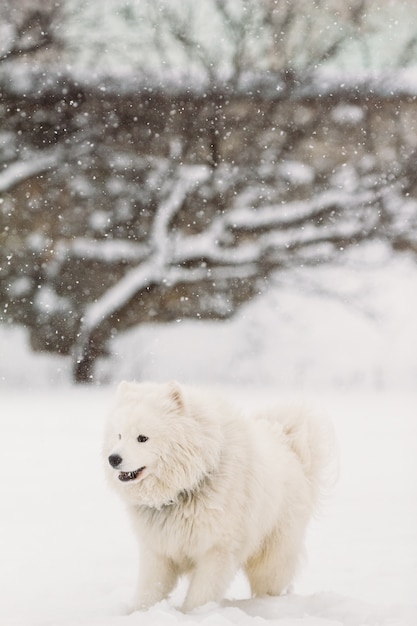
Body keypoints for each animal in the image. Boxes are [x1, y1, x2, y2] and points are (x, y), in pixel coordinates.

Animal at [103, 380, 332, 608]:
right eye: (119, 435)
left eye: (142, 438)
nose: (113, 459)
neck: (190, 483)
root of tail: (289, 446)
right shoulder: (159, 550)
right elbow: (149, 590)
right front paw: (137, 611)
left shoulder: (216, 550)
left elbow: (201, 594)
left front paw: (194, 613)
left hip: (271, 556)